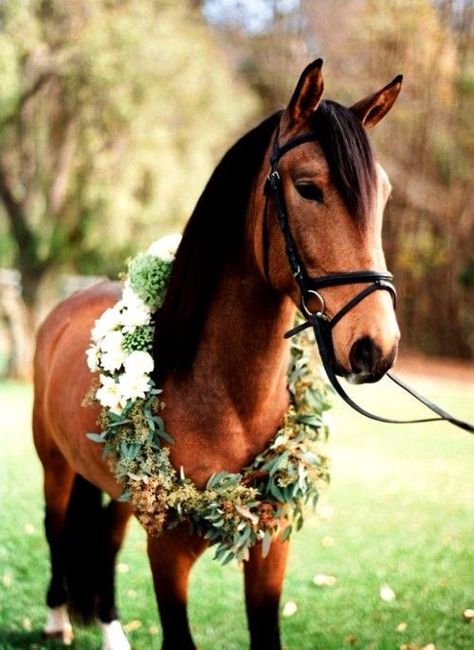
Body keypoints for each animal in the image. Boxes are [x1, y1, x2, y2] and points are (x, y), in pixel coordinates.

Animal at [33, 59, 401, 649]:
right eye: (308, 188)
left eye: (384, 196)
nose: (376, 348)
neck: (224, 399)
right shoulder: (167, 551)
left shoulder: (271, 546)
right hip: (55, 465)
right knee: (56, 530)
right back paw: (56, 618)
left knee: (105, 542)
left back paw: (111, 631)